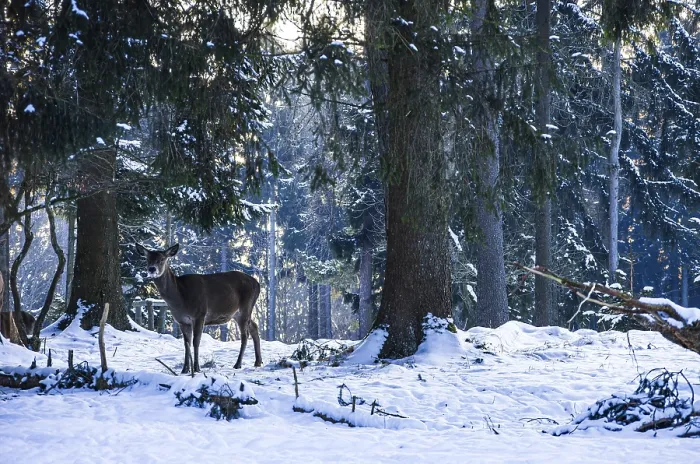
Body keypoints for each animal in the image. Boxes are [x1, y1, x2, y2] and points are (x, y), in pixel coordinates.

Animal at [135, 243, 263, 373]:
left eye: (162, 259)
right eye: (147, 259)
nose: (152, 269)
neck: (180, 296)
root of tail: (258, 284)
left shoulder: (200, 314)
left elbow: (196, 342)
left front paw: (196, 368)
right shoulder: (182, 321)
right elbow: (186, 344)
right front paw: (185, 369)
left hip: (246, 307)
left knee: (245, 335)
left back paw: (238, 364)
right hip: (237, 313)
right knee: (254, 327)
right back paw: (258, 362)